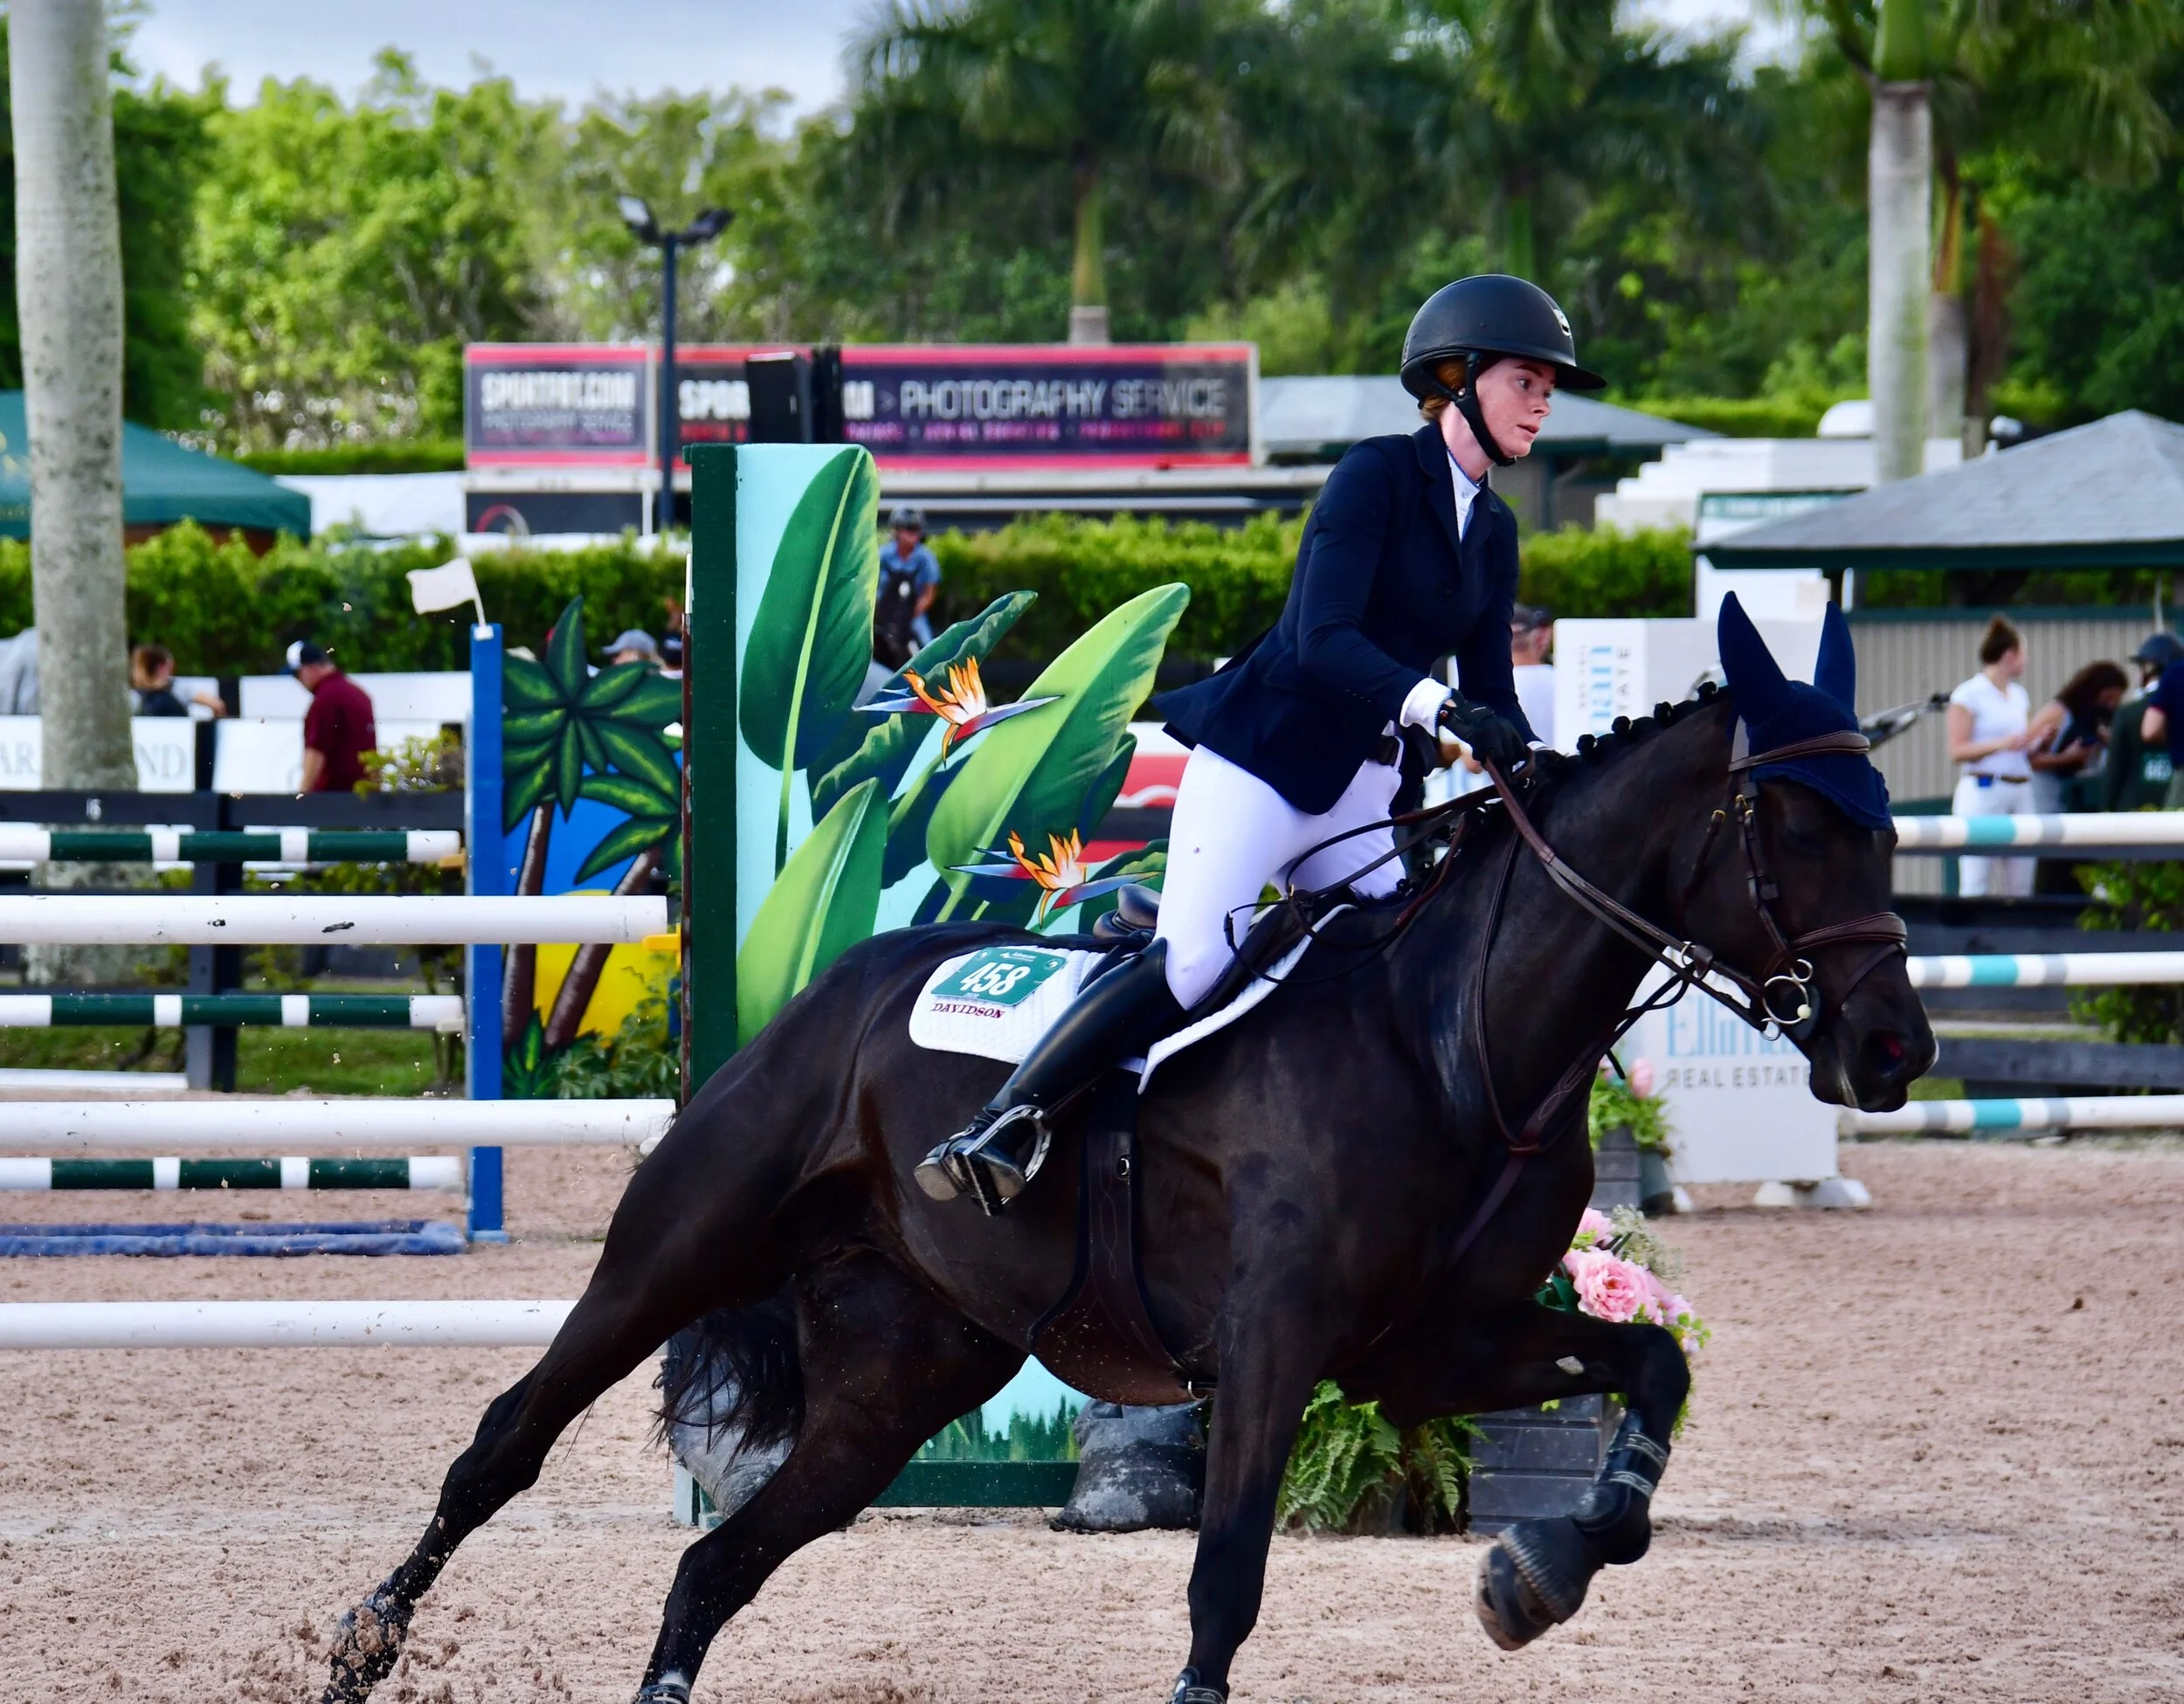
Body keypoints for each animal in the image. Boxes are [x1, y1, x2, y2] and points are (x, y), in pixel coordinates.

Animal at [322, 627, 1934, 1704]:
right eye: (1799, 823)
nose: (1895, 1049)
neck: (1460, 1038)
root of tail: (830, 991)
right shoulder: (1279, 1343)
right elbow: (1224, 1581)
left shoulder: (1433, 1344)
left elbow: (1651, 1367)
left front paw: (1538, 1568)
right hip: (679, 1251)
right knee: (505, 1441)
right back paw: (361, 1643)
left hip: (902, 1373)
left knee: (718, 1564)